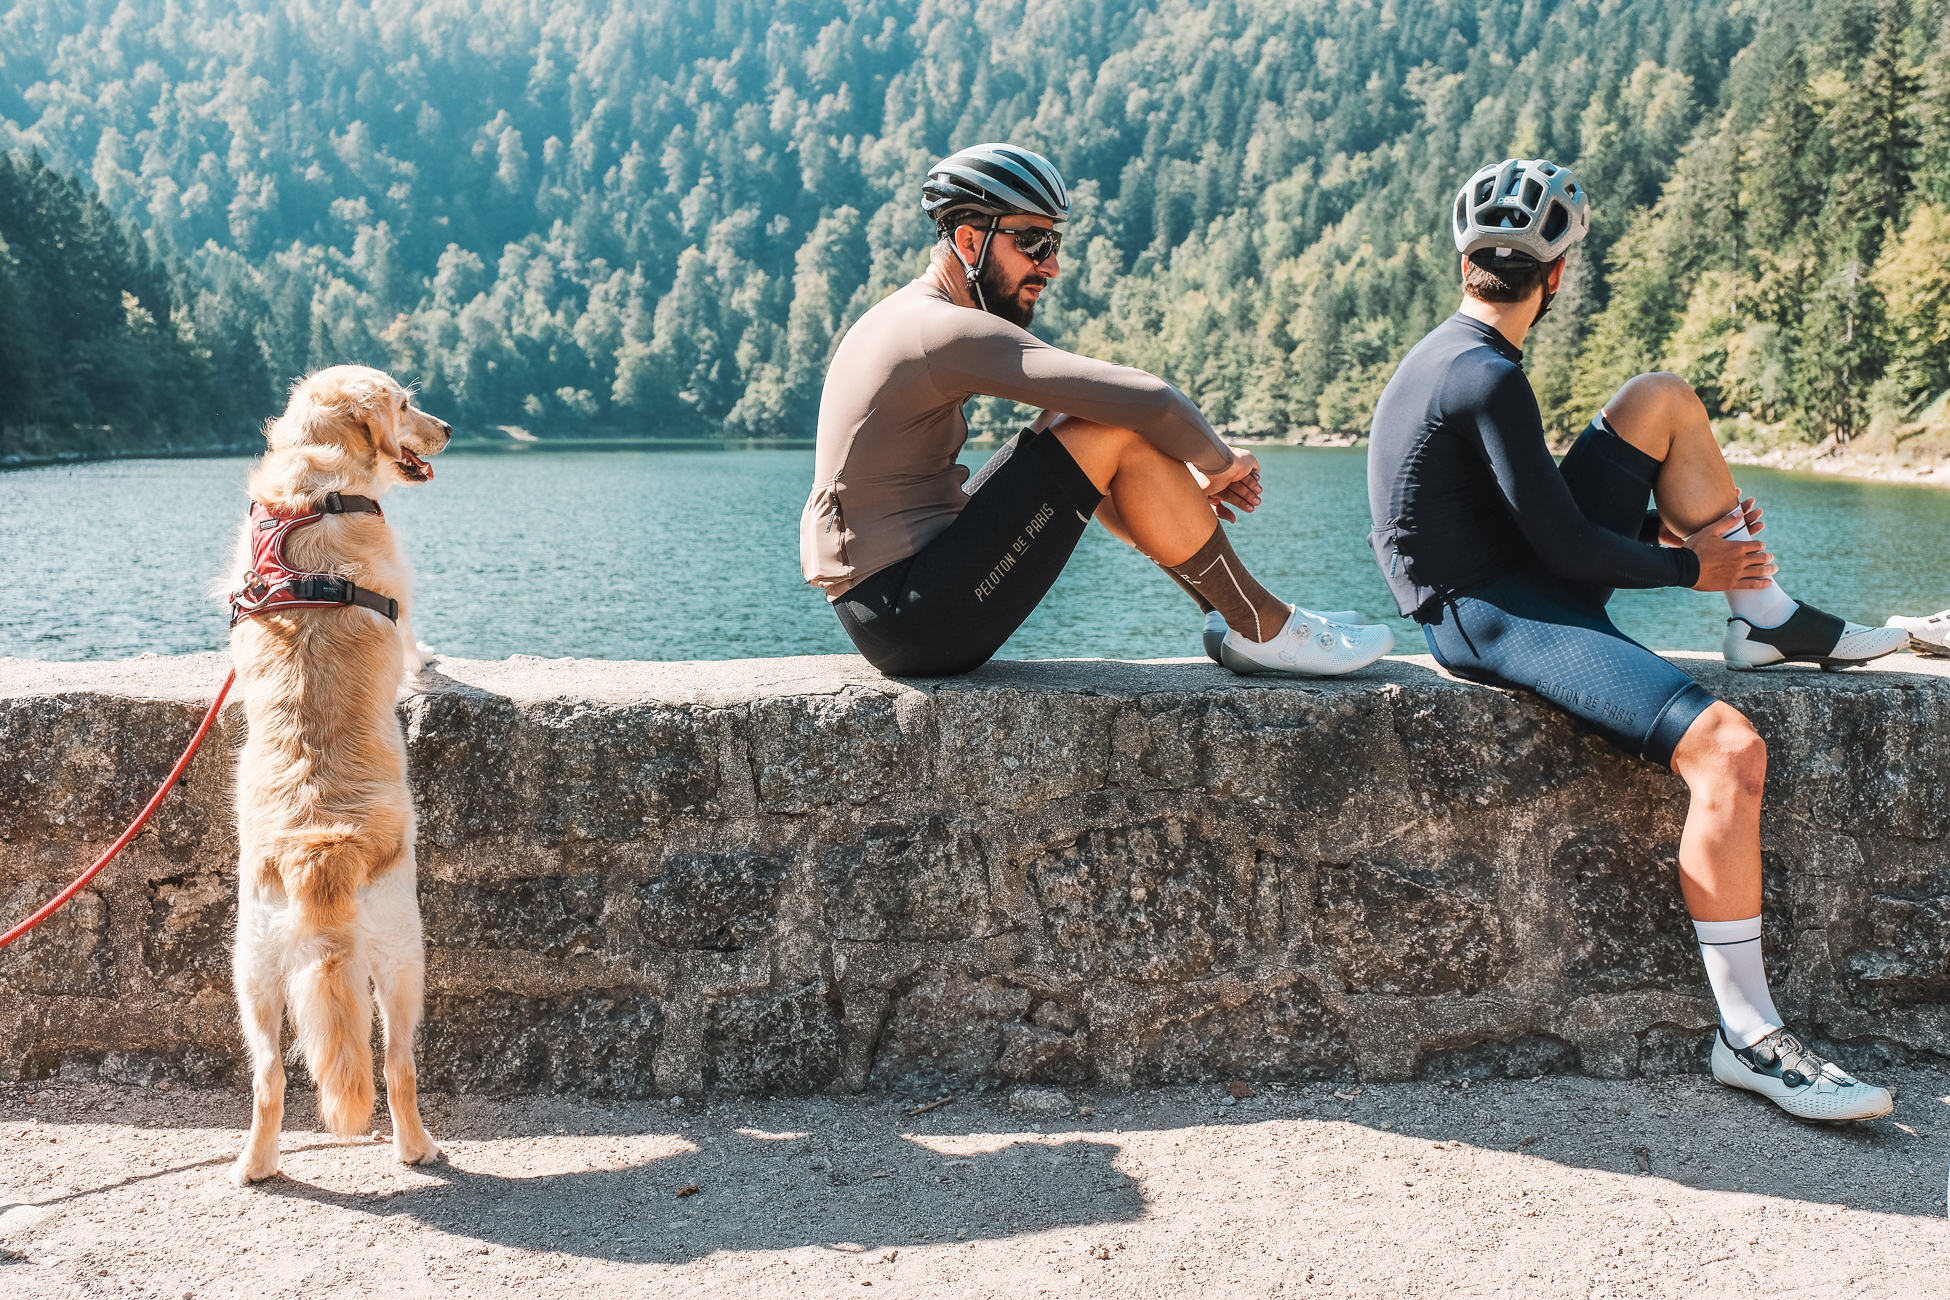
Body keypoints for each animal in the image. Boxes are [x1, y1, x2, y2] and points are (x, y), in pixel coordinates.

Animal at [222, 364, 451, 1185]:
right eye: (408, 404)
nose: (448, 429)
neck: (314, 482)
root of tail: (321, 849)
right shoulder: (403, 590)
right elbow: (414, 640)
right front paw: (433, 663)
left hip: (252, 970)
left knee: (268, 1078)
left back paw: (255, 1165)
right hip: (405, 957)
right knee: (398, 1065)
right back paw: (418, 1149)